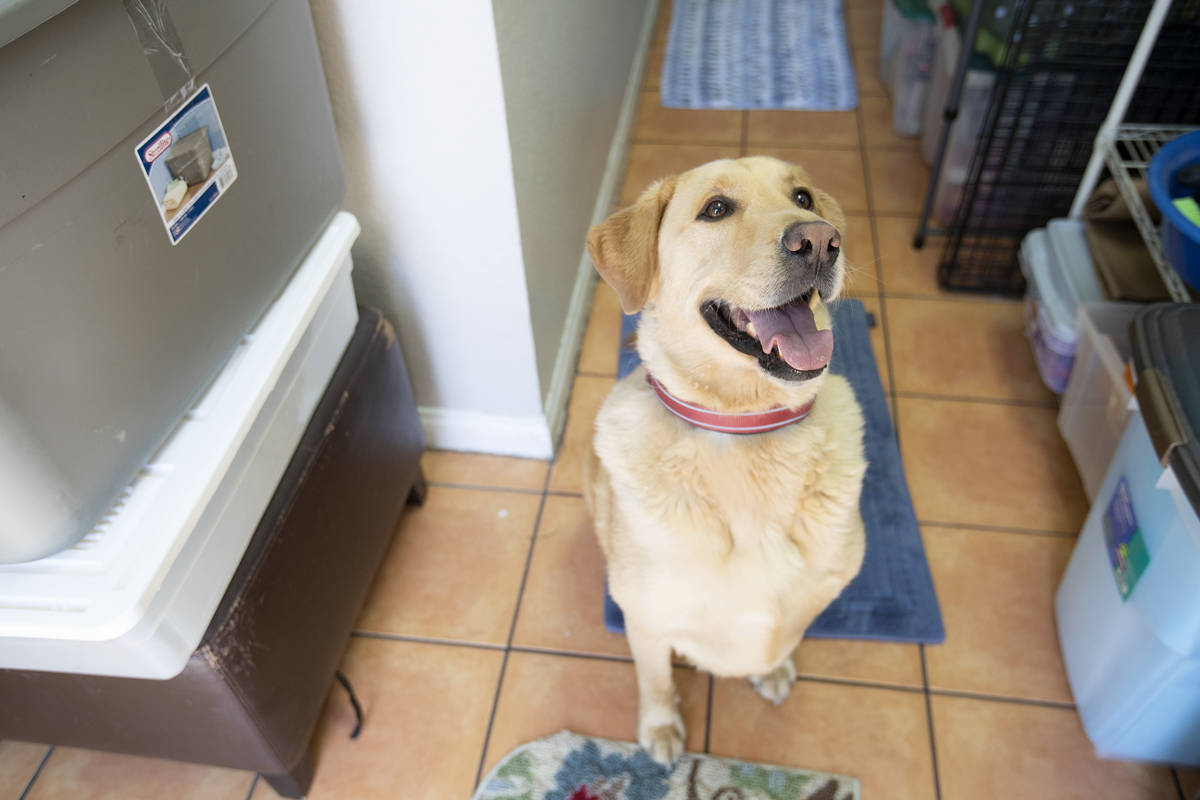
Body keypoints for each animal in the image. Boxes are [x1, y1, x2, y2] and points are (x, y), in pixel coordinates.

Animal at [580, 154, 864, 762]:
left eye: (802, 198)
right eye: (715, 209)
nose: (820, 241)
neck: (744, 425)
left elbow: (784, 636)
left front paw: (773, 668)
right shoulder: (647, 616)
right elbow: (655, 678)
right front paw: (662, 728)